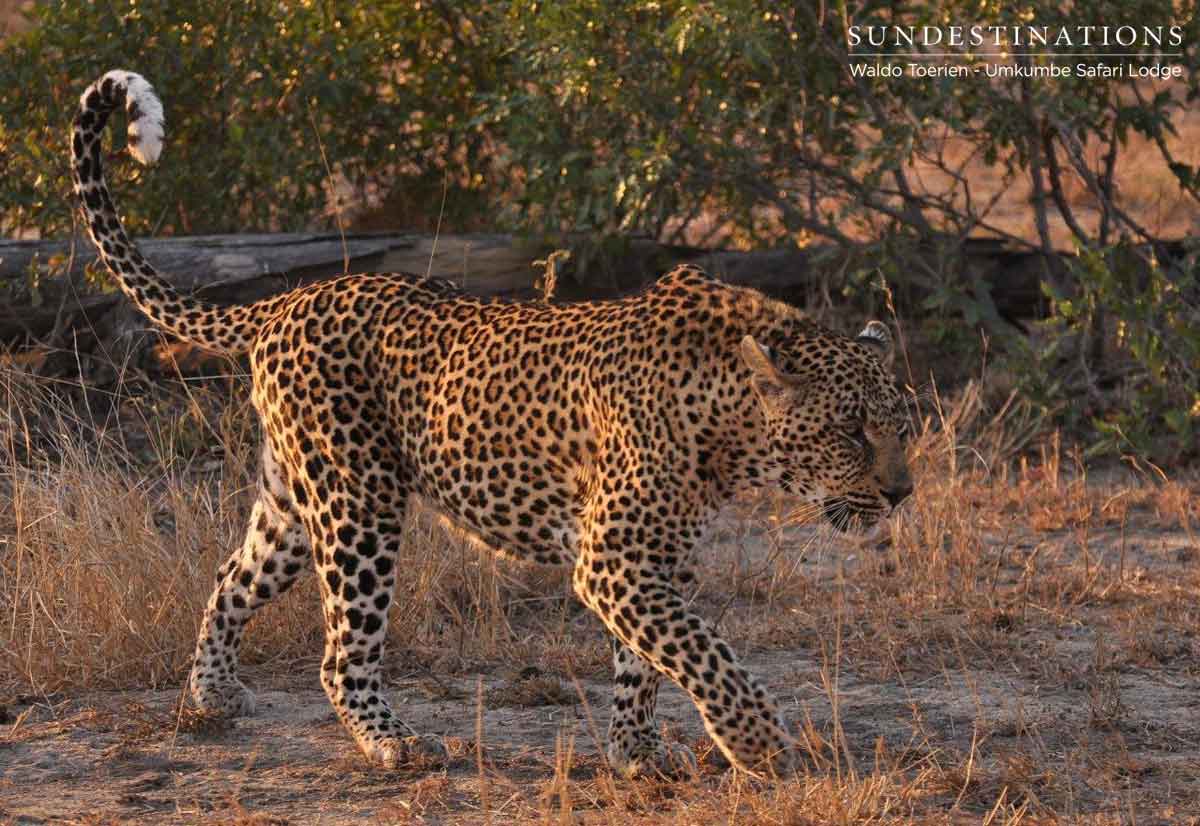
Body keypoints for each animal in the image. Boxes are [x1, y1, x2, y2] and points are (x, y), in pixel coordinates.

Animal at [70, 70, 913, 778]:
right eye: (851, 433)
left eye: (902, 427)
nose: (902, 495)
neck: (725, 422)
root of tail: (286, 301)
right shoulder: (613, 559)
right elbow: (701, 649)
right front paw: (757, 742)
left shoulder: (659, 562)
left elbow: (646, 661)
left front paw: (636, 752)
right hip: (359, 504)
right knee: (341, 652)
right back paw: (394, 742)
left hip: (294, 503)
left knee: (229, 579)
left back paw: (214, 695)